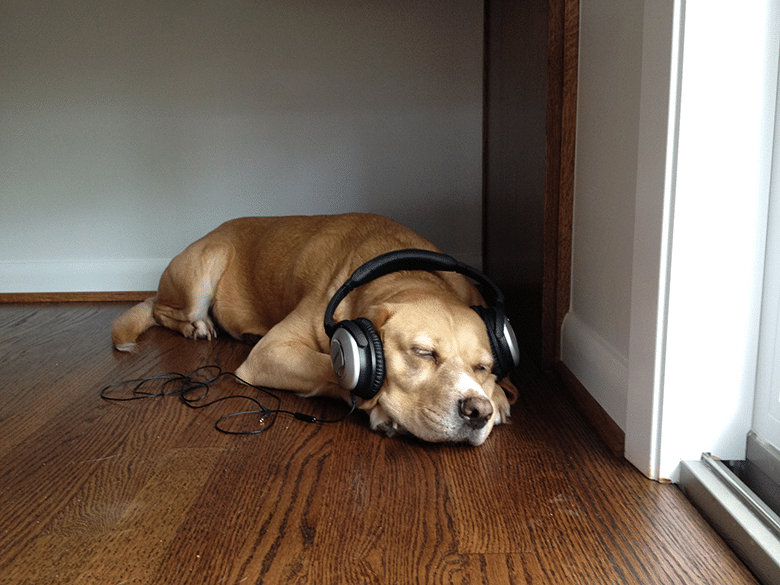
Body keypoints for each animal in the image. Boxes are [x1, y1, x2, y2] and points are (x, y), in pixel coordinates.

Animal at [111, 212, 516, 444]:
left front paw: (498, 396)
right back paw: (196, 325)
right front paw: (381, 410)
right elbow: (334, 370)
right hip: (204, 267)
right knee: (162, 310)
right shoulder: (272, 352)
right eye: (423, 353)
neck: (407, 271)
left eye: (483, 367)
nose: (477, 412)